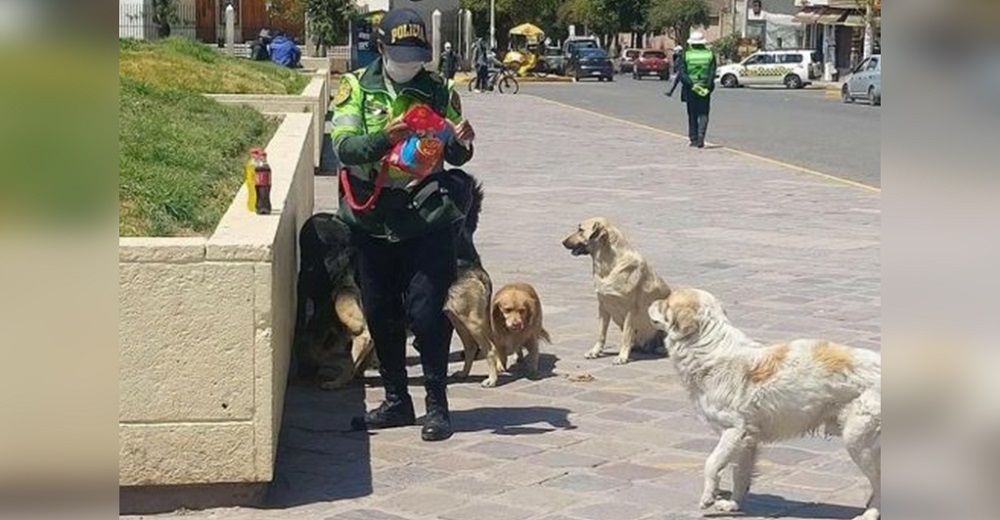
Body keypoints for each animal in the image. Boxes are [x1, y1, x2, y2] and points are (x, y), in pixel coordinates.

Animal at [564, 217, 672, 364]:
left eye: (580, 230)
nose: (562, 242)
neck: (607, 263)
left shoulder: (630, 310)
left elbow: (626, 335)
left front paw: (622, 356)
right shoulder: (603, 307)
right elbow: (601, 333)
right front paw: (595, 351)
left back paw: (661, 349)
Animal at [652, 288, 880, 520]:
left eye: (666, 303)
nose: (652, 302)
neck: (709, 348)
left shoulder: (734, 430)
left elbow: (711, 463)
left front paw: (708, 496)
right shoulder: (747, 441)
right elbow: (740, 475)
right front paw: (733, 504)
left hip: (857, 439)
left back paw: (870, 513)